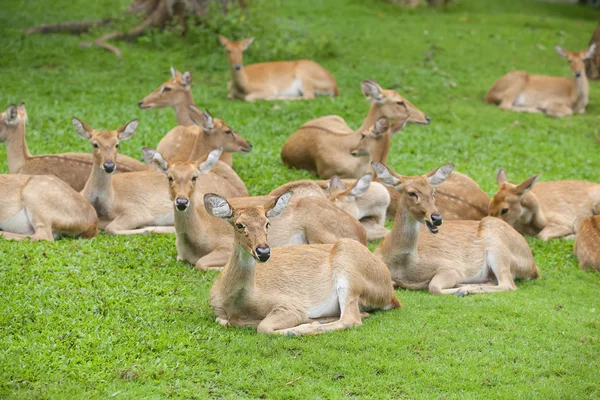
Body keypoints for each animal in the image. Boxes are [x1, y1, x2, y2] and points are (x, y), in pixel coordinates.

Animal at [204, 192, 400, 336]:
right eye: (239, 224)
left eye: (267, 223)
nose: (263, 251)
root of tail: (390, 294)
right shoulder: (218, 312)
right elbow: (223, 321)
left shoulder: (290, 305)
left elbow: (264, 327)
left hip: (349, 267)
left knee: (350, 319)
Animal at [370, 161, 540, 296]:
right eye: (412, 193)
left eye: (433, 192)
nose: (437, 218)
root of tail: (532, 266)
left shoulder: (450, 267)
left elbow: (434, 287)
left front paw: (460, 290)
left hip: (498, 246)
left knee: (508, 284)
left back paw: (465, 288)